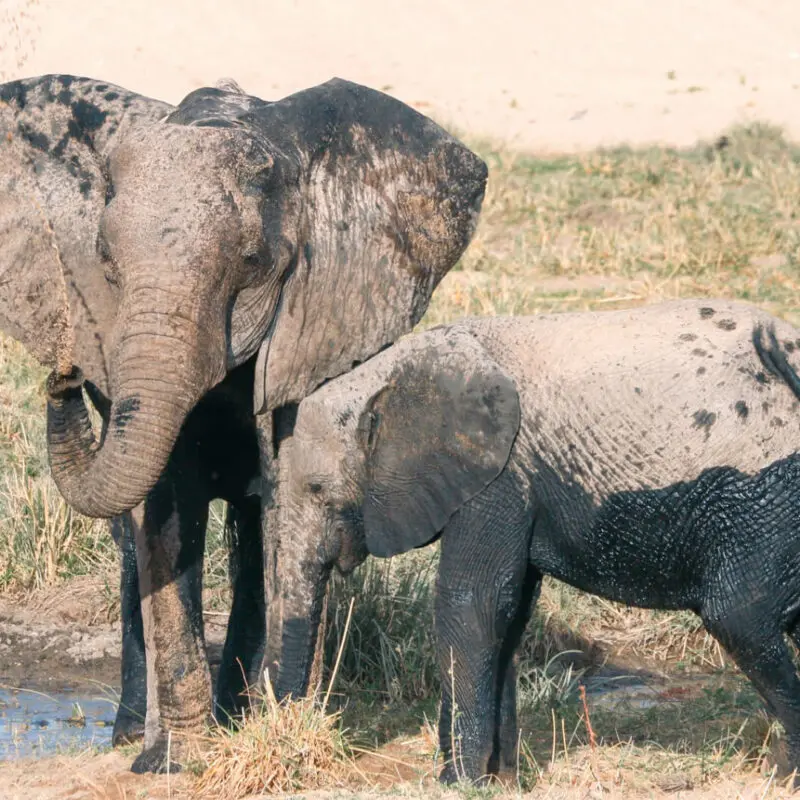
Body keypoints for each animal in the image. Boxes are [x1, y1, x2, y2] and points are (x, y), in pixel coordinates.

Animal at [0, 73, 487, 771]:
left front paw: (271, 731)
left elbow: (285, 499)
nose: (64, 371)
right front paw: (168, 763)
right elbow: (166, 512)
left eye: (255, 261)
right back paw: (131, 734)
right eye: (104, 262)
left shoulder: (309, 327)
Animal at [265, 298, 800, 783]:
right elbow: (510, 612)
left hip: (765, 498)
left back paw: (783, 773)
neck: (393, 371)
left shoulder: (500, 476)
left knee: (738, 615)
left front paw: (458, 783)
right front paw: (499, 781)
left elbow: (472, 605)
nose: (294, 733)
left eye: (317, 490)